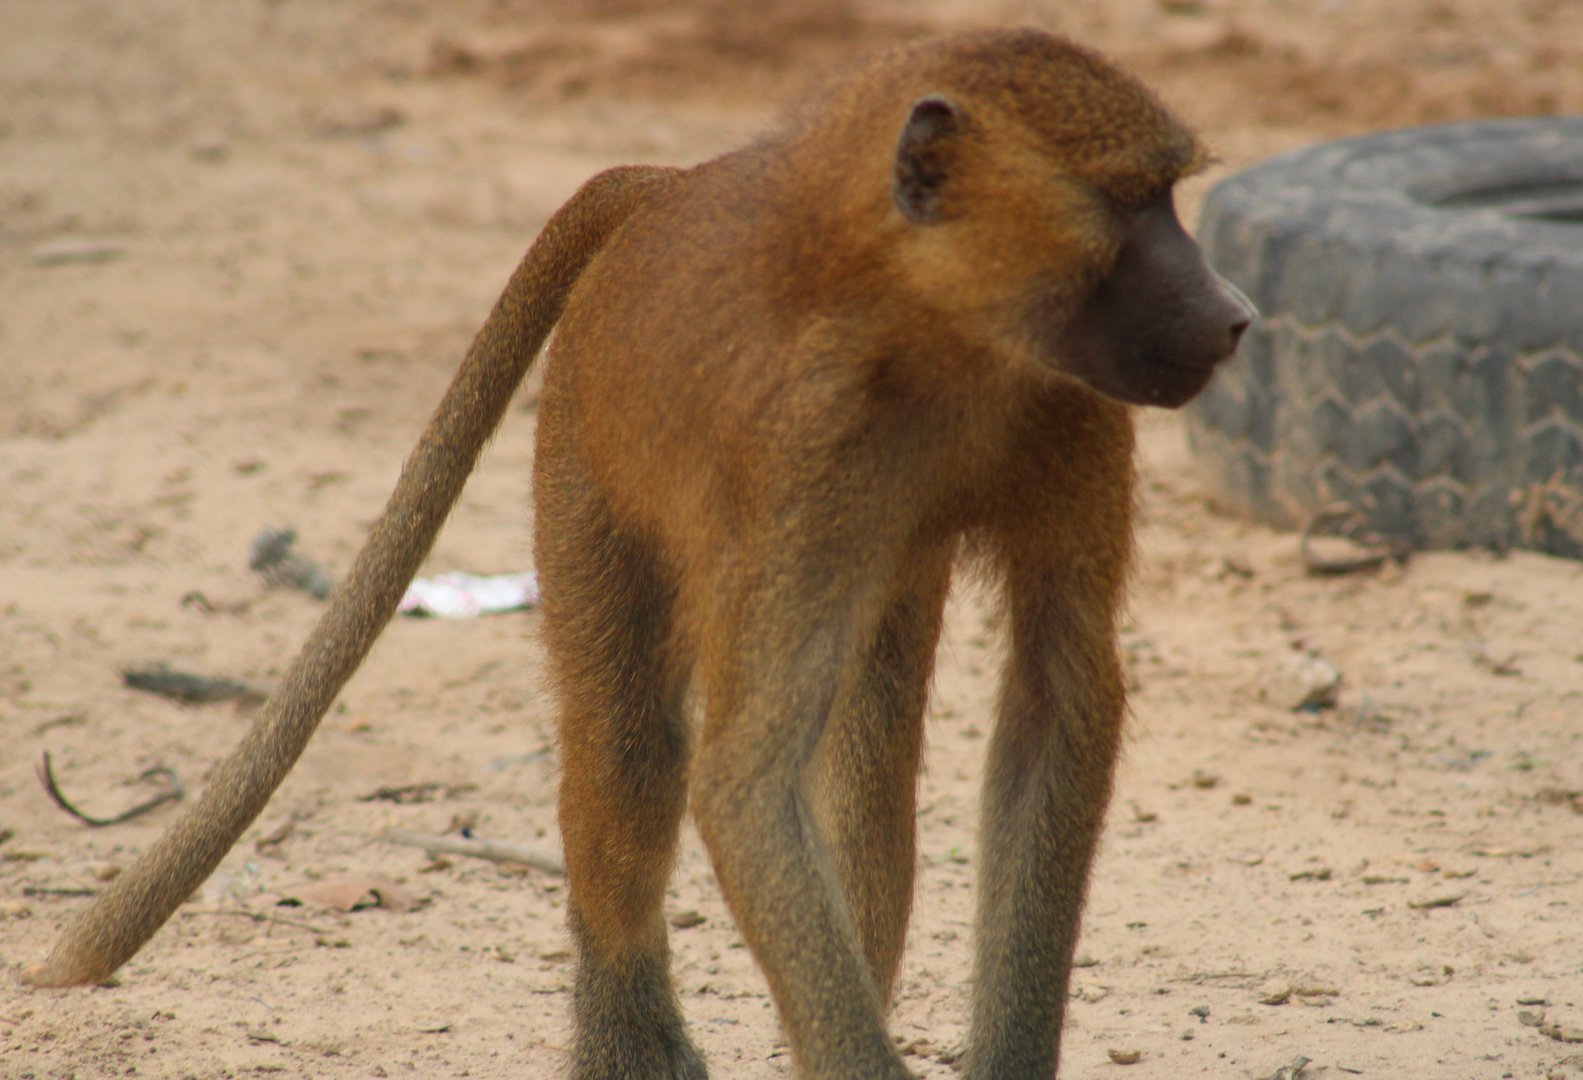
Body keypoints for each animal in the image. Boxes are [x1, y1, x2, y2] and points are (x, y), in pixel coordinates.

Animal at [24, 28, 1253, 1080]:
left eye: (1167, 198)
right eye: (1131, 203)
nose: (1233, 314)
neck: (937, 334)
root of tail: (669, 190)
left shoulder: (1069, 406)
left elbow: (1055, 696)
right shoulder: (806, 457)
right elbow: (744, 779)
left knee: (865, 747)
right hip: (582, 451)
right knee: (631, 751)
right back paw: (627, 1033)